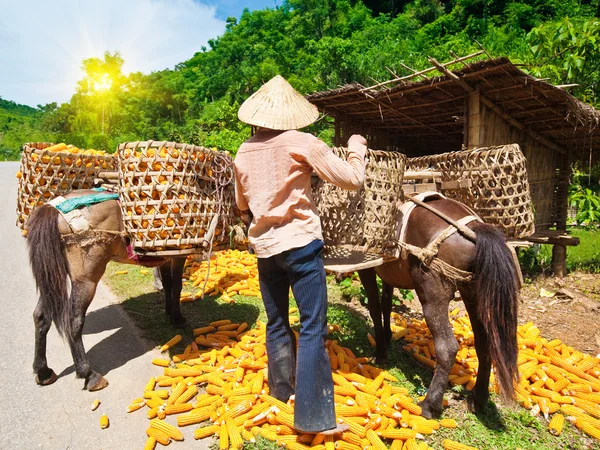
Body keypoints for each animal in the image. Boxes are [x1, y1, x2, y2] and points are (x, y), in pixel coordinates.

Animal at [26, 192, 188, 392]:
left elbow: (167, 283)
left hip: (53, 277)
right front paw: (178, 318)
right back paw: (89, 374)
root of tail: (54, 210)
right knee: (74, 322)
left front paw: (169, 313)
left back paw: (43, 371)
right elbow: (176, 285)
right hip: (86, 281)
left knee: (41, 316)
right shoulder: (179, 255)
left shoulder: (166, 256)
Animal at [356, 195, 520, 420]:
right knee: (483, 344)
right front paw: (387, 339)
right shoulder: (387, 273)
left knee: (447, 347)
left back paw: (429, 405)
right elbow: (386, 304)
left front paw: (380, 352)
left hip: (433, 296)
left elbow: (374, 307)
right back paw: (478, 398)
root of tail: (474, 229)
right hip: (473, 296)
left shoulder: (367, 268)